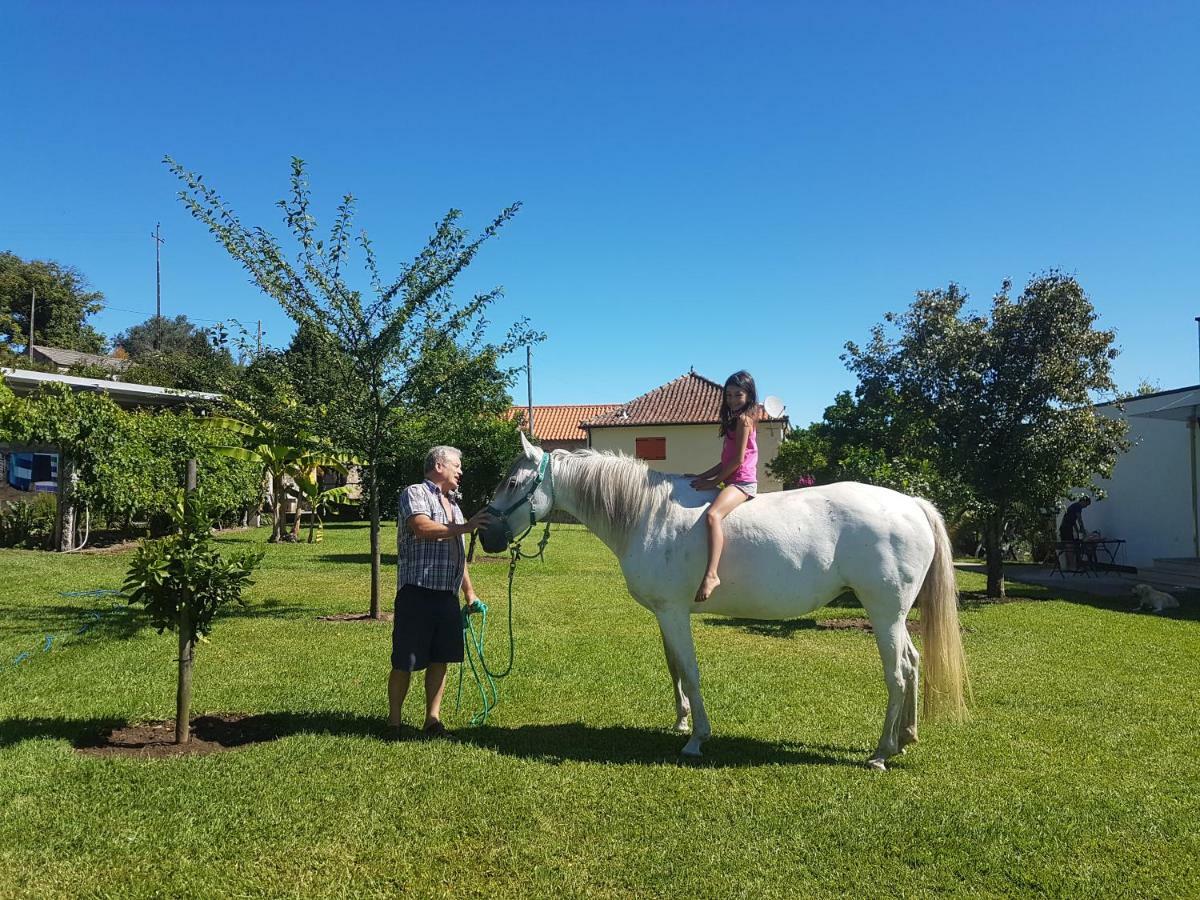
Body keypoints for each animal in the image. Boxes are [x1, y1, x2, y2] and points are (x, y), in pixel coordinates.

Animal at [482, 434, 969, 768]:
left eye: (511, 481)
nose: (486, 535)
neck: (646, 513)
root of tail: (911, 503)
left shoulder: (675, 612)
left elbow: (692, 672)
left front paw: (696, 739)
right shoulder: (665, 614)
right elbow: (675, 669)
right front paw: (681, 721)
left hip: (884, 614)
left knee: (898, 673)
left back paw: (881, 752)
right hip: (897, 617)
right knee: (914, 662)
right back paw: (905, 738)